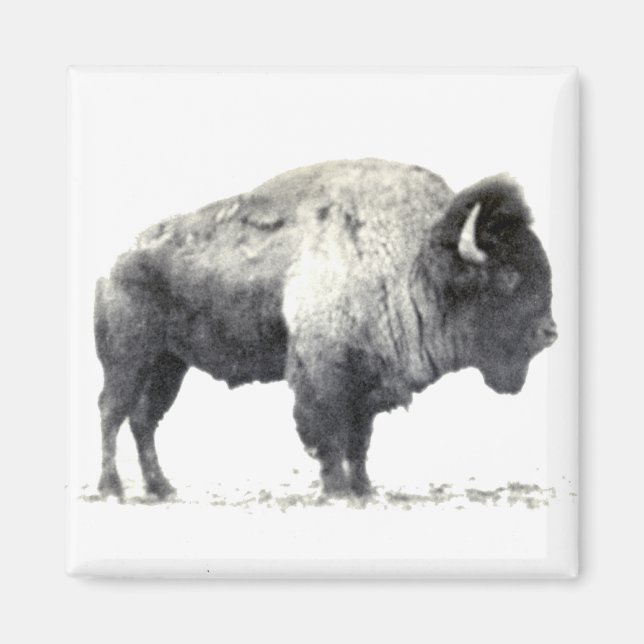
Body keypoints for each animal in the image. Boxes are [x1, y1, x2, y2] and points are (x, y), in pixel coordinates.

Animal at [94, 158, 557, 499]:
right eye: (508, 276)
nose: (550, 332)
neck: (416, 262)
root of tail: (116, 263)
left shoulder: (367, 384)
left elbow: (359, 440)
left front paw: (364, 489)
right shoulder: (324, 375)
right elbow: (329, 434)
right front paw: (337, 491)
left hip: (169, 365)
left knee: (143, 420)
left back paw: (161, 487)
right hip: (129, 360)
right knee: (112, 412)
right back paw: (112, 488)